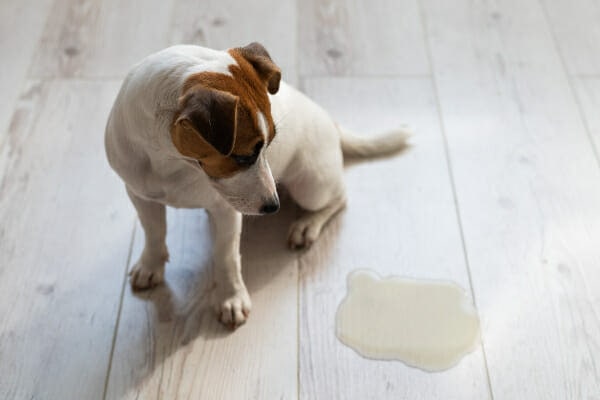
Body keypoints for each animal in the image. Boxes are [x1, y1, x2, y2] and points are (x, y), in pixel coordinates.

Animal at [105, 43, 410, 328]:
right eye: (243, 156)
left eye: (270, 143)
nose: (273, 206)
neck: (170, 160)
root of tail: (331, 123)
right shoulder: (140, 195)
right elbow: (154, 232)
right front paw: (151, 264)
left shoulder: (226, 212)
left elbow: (226, 256)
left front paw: (231, 298)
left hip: (310, 186)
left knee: (339, 198)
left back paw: (307, 225)